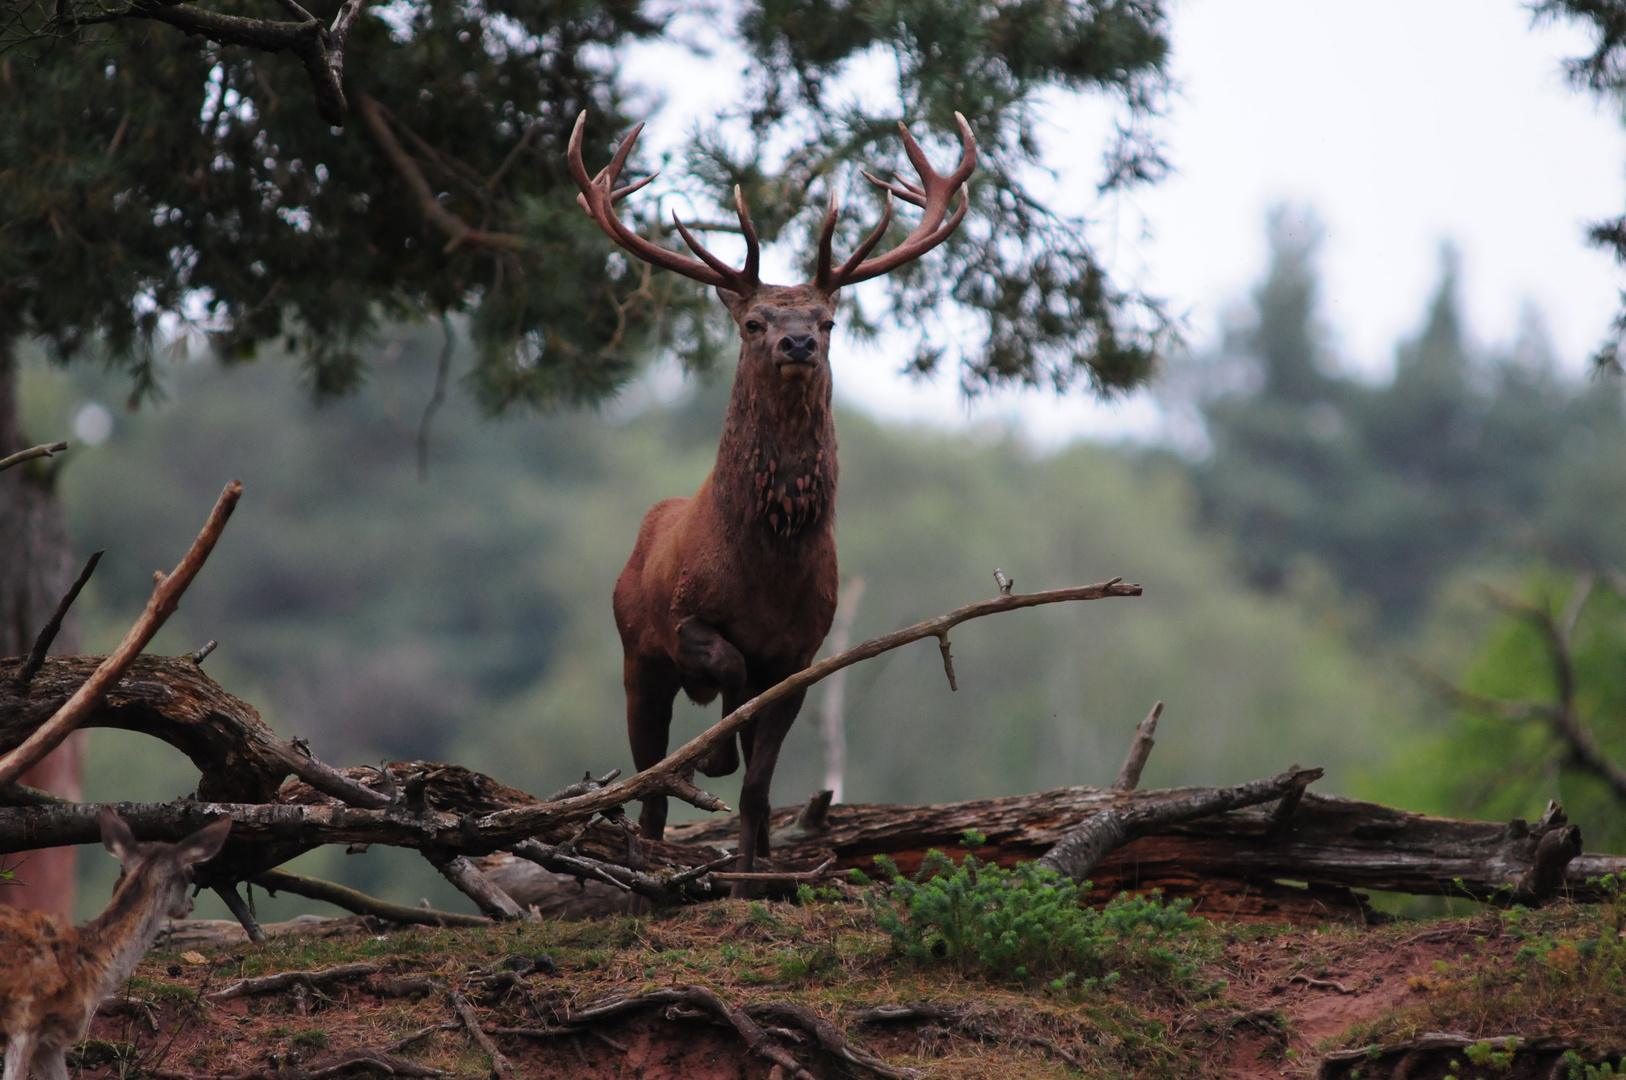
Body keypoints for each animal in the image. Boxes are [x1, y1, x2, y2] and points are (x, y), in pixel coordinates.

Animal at [569, 109, 975, 891]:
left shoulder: (800, 655)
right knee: (649, 790)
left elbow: (760, 788)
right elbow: (726, 676)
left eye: (827, 322)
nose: (796, 344)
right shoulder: (684, 620)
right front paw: (714, 754)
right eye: (754, 322)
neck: (768, 569)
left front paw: (752, 880)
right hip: (635, 655)